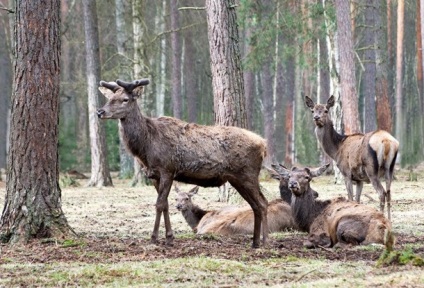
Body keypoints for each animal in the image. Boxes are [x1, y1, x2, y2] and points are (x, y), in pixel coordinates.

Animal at [96, 79, 268, 248]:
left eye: (125, 99)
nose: (100, 112)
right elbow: (165, 204)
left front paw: (154, 238)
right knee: (257, 204)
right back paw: (255, 241)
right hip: (237, 178)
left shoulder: (167, 169)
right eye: (109, 98)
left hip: (247, 174)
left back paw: (264, 240)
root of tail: (263, 144)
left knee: (262, 203)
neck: (145, 147)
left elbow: (159, 204)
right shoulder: (153, 175)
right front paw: (169, 238)